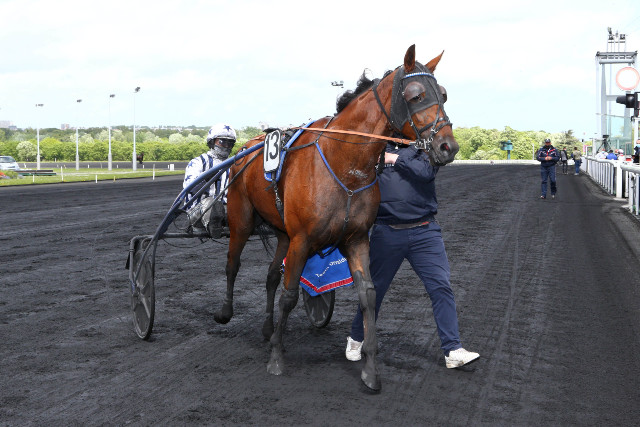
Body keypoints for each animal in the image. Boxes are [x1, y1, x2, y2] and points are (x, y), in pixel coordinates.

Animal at [218, 45, 459, 391]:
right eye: (416, 95)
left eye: (444, 94)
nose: (447, 147)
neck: (345, 163)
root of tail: (247, 147)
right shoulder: (303, 239)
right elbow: (290, 295)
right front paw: (276, 358)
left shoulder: (355, 239)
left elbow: (368, 294)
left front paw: (370, 369)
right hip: (241, 219)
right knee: (233, 265)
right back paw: (225, 312)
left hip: (282, 232)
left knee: (271, 276)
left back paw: (267, 328)